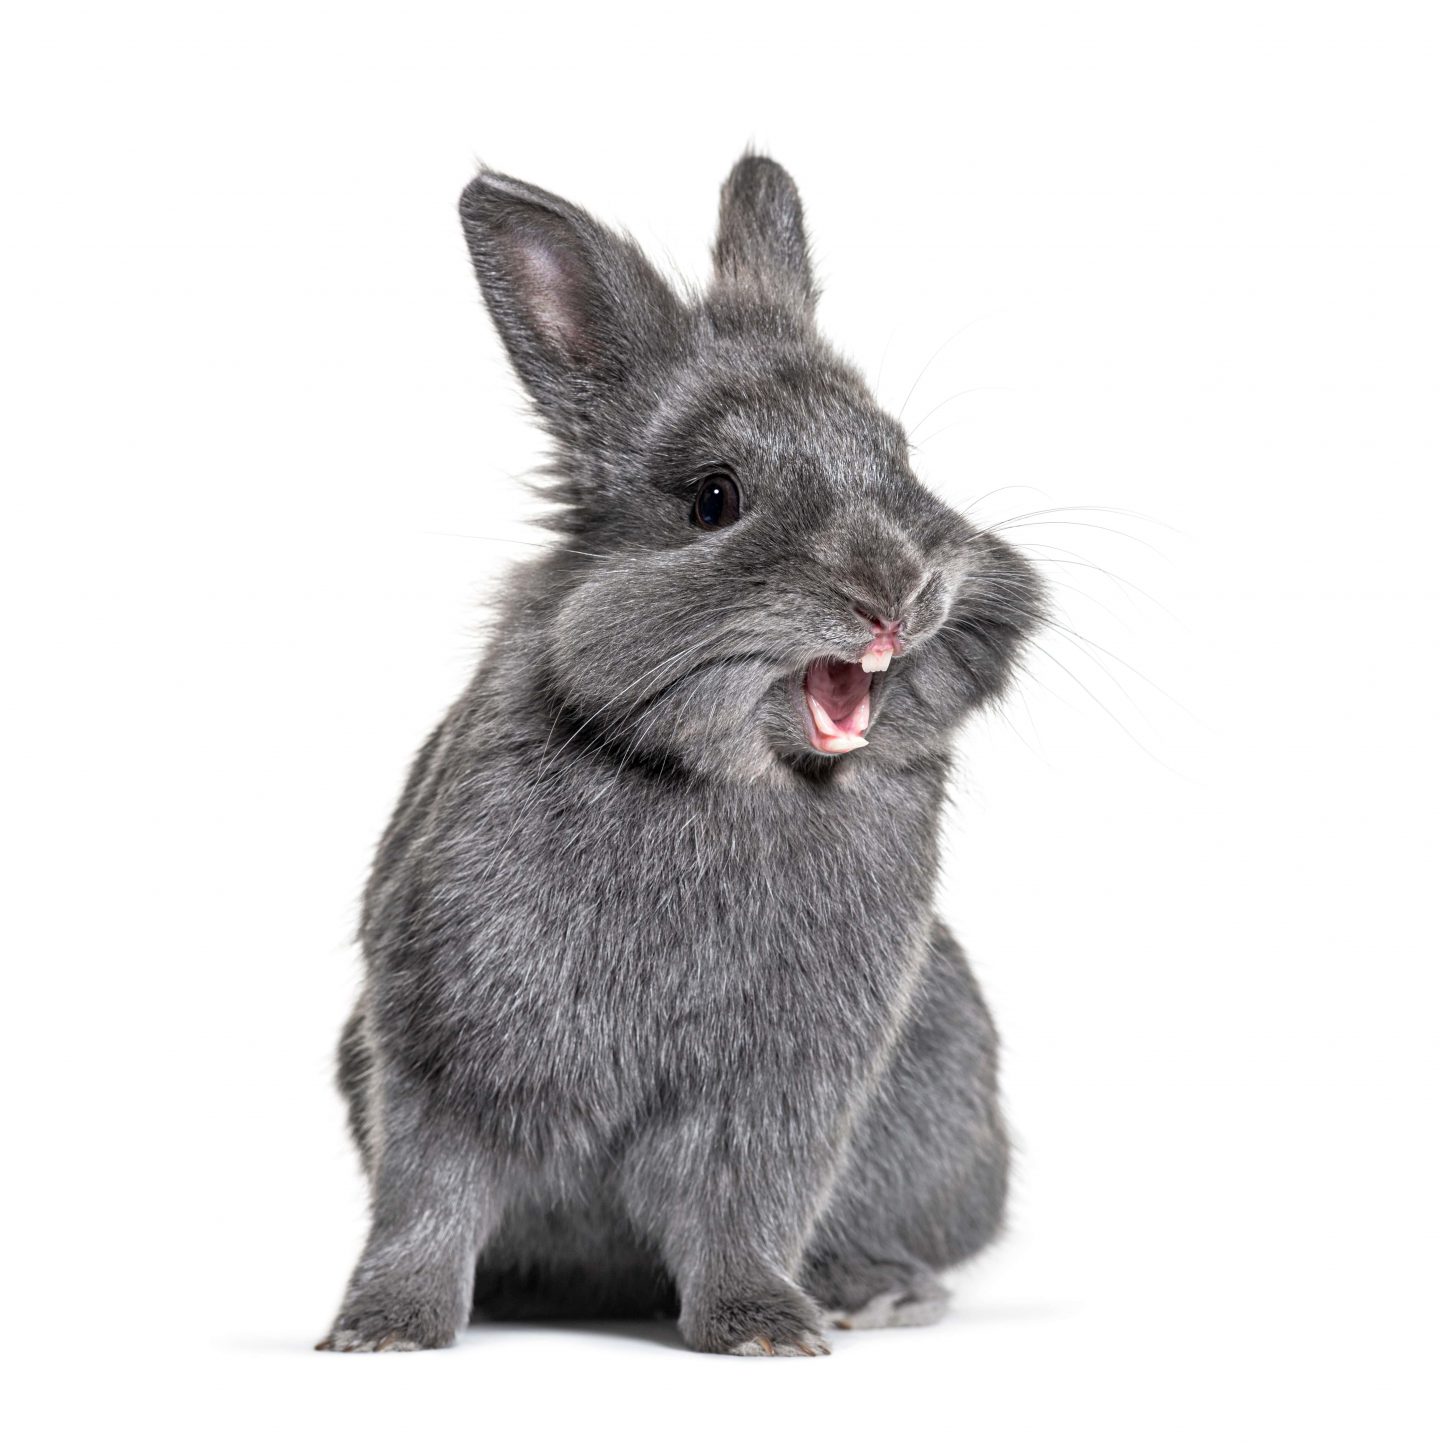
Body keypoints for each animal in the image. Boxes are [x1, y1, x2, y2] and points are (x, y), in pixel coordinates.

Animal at [316, 152, 1046, 1357]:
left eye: (897, 456)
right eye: (715, 498)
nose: (896, 593)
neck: (728, 782)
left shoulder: (787, 1085)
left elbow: (747, 1206)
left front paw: (765, 1327)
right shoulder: (441, 1043)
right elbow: (429, 1197)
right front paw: (383, 1329)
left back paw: (875, 1288)